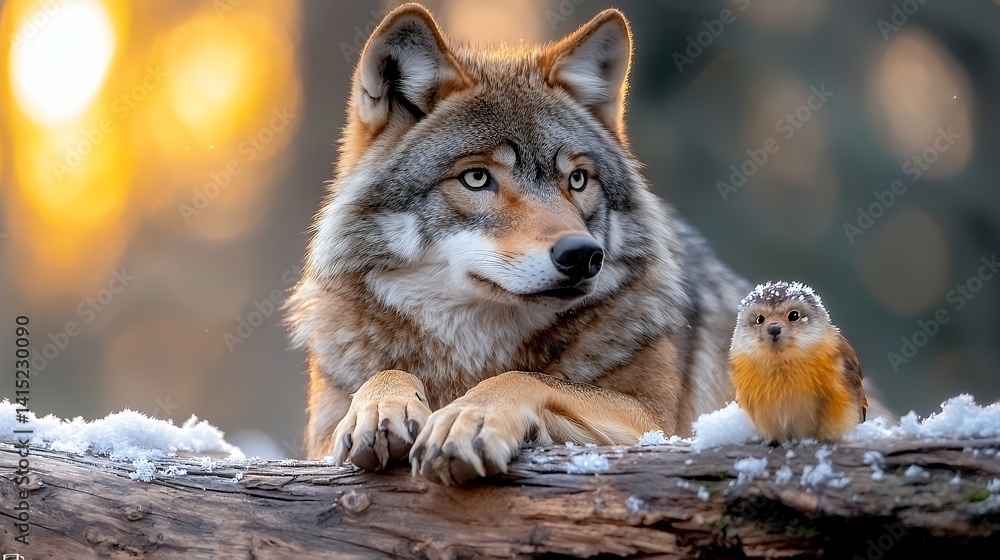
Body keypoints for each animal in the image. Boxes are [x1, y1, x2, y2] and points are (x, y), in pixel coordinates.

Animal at [285, 3, 749, 484]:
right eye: (476, 177)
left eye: (577, 180)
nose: (582, 255)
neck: (474, 354)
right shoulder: (317, 446)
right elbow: (386, 373)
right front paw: (379, 408)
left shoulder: (657, 423)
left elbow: (525, 379)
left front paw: (469, 417)